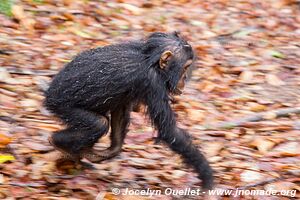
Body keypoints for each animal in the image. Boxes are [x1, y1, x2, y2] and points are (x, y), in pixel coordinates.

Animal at [44, 32, 213, 190]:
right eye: (185, 67)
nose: (184, 79)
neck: (150, 59)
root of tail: (48, 94)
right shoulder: (153, 84)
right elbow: (169, 131)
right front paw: (206, 174)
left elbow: (120, 113)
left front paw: (110, 151)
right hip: (63, 106)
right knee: (99, 123)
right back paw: (58, 141)